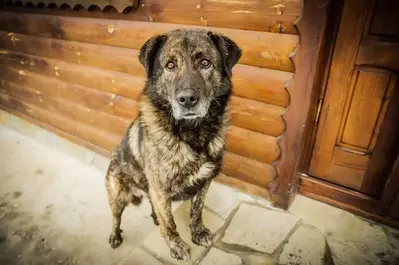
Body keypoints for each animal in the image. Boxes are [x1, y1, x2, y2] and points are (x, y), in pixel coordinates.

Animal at [105, 27, 241, 258]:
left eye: (205, 62)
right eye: (170, 65)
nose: (187, 99)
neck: (192, 133)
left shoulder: (204, 181)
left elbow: (196, 210)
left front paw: (198, 233)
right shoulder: (160, 189)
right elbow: (169, 223)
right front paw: (176, 245)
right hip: (118, 193)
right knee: (116, 216)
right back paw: (115, 236)